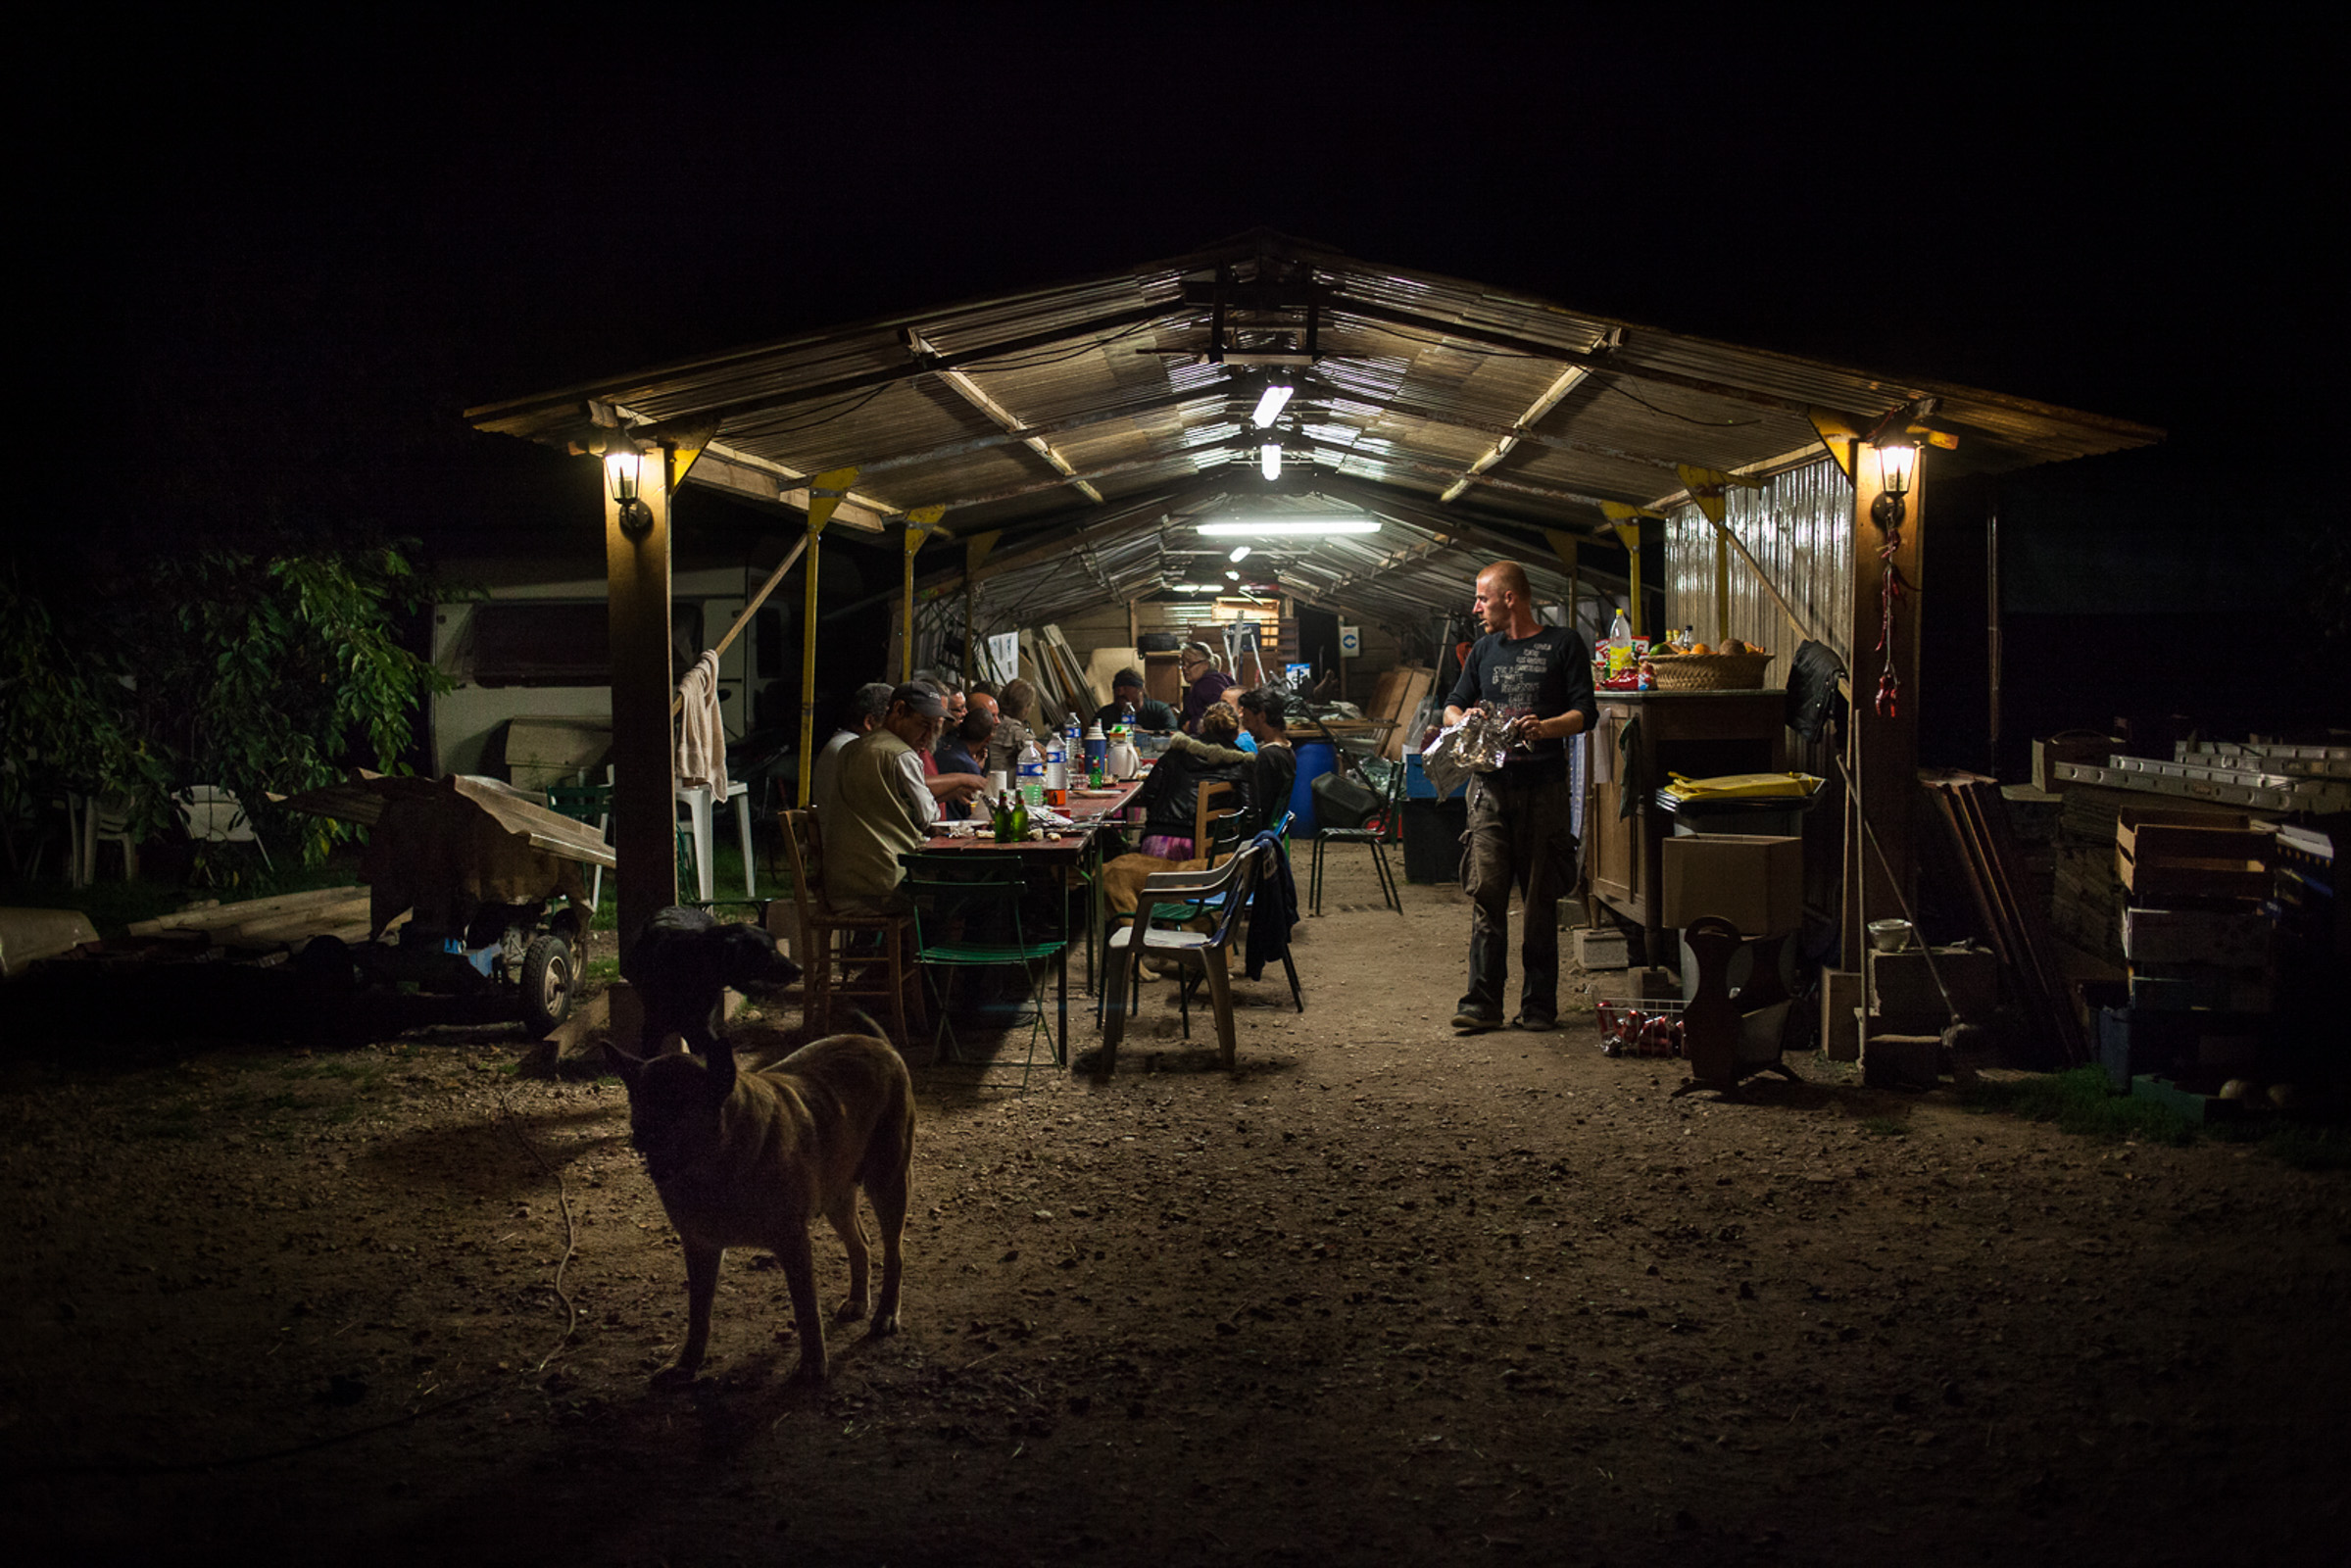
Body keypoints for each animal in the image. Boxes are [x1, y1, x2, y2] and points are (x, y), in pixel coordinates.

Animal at [602, 1044, 911, 1382]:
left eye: (680, 1106)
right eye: (640, 1103)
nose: (641, 1138)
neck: (717, 1170)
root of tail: (879, 1044)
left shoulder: (793, 1243)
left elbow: (806, 1309)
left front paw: (813, 1365)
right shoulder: (699, 1247)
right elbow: (698, 1313)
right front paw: (688, 1363)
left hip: (888, 1184)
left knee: (894, 1254)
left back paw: (886, 1313)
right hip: (836, 1195)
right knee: (860, 1244)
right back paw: (858, 1299)